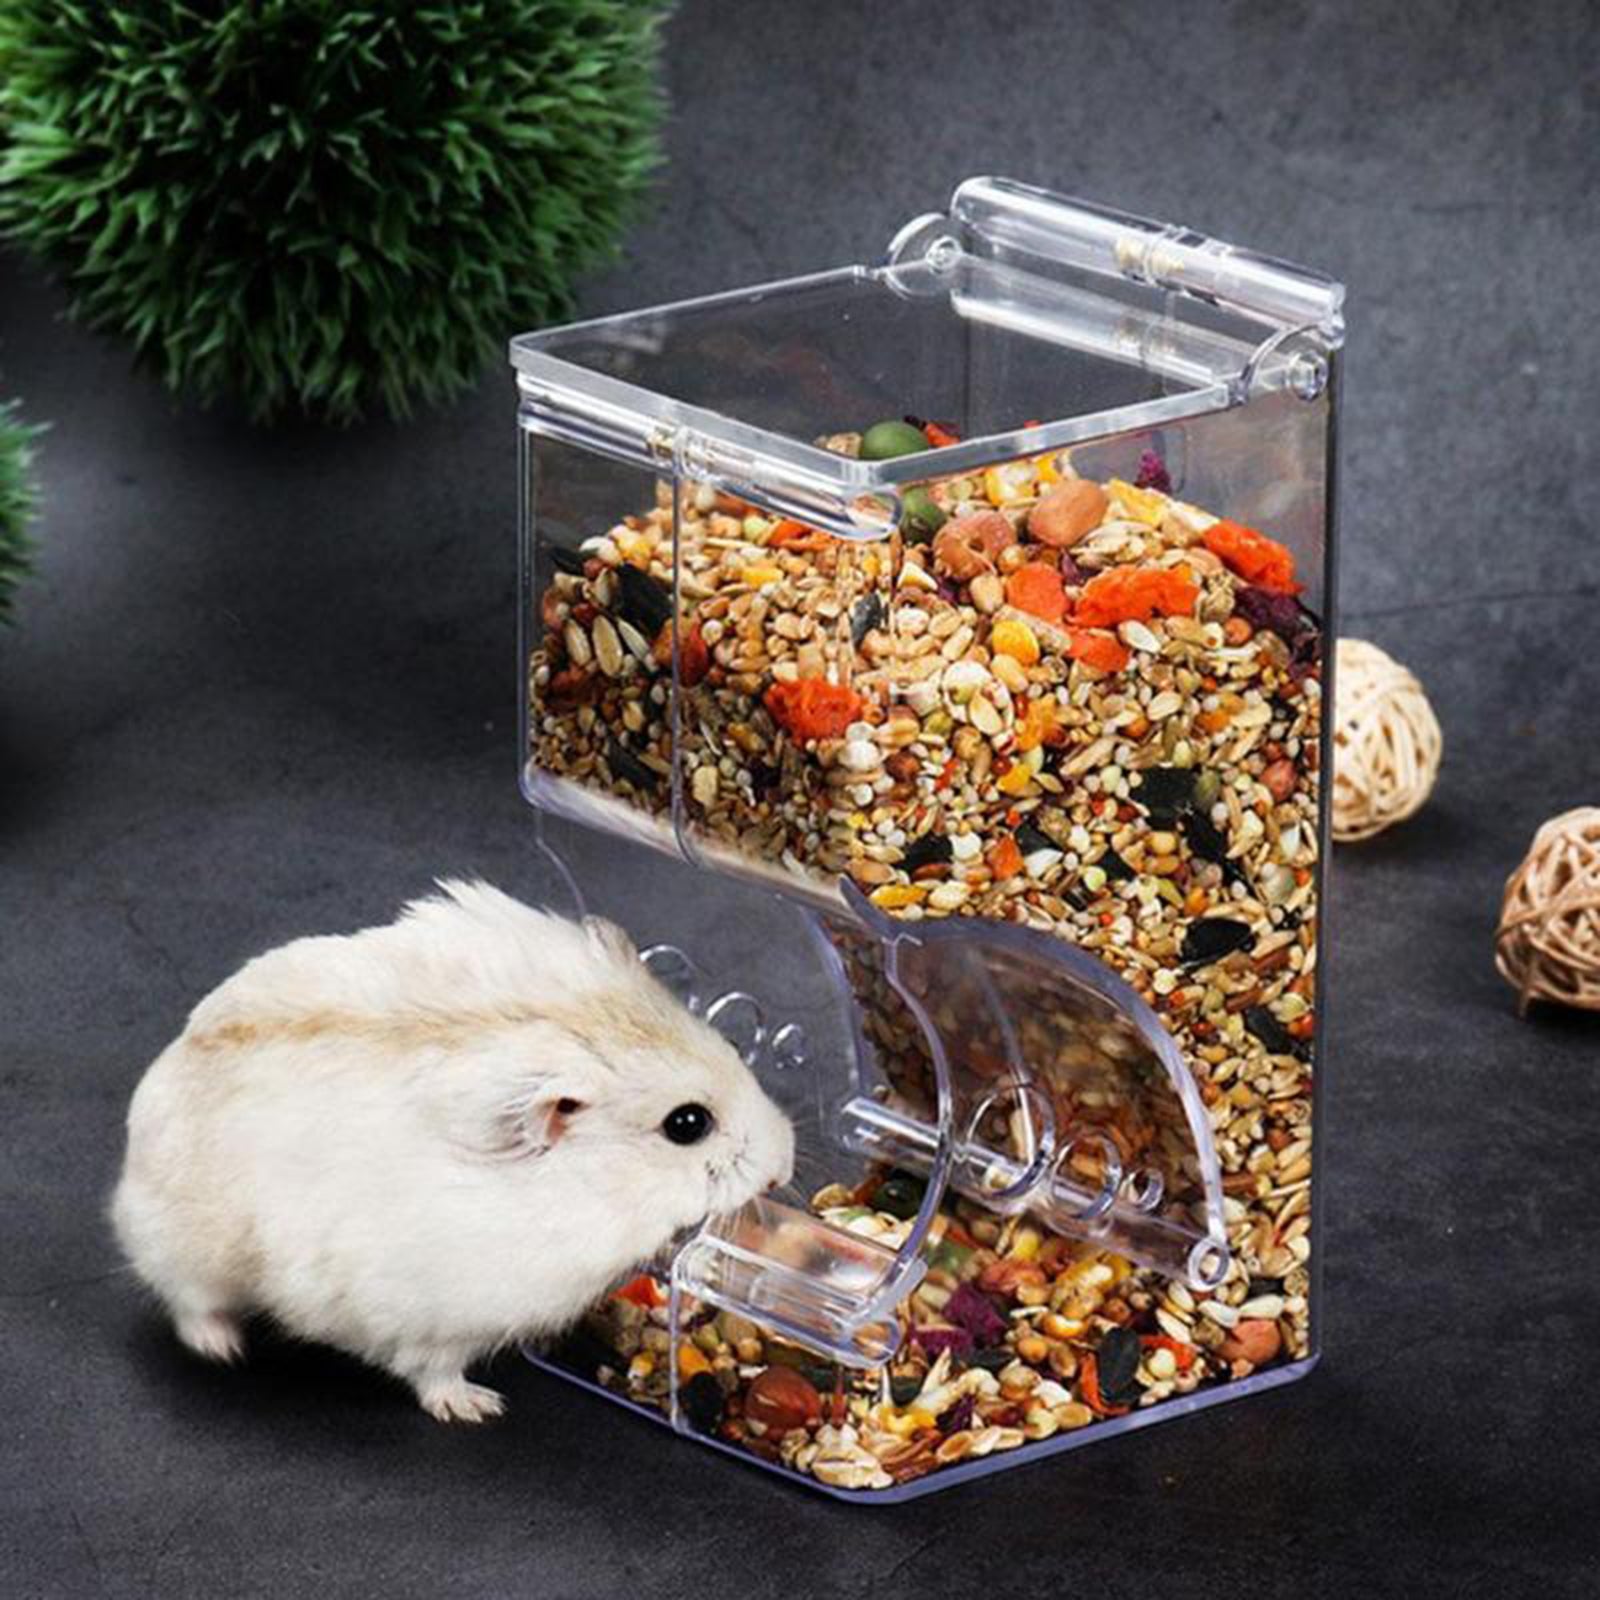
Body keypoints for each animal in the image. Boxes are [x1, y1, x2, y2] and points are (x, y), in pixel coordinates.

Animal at [111, 880, 795, 1422]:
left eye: (733, 1047)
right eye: (687, 1124)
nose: (784, 1164)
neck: (589, 1190)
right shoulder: (435, 1317)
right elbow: (432, 1371)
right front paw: (479, 1409)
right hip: (185, 1248)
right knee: (185, 1299)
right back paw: (222, 1348)